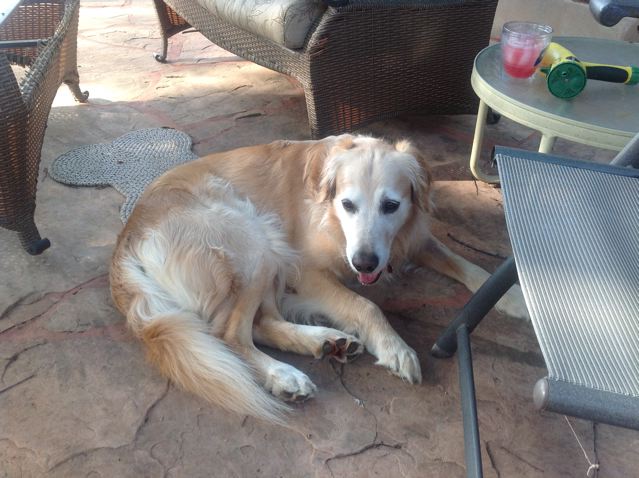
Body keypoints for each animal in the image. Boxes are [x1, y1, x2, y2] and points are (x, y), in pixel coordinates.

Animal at [110, 134, 526, 422]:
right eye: (348, 204)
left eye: (391, 205)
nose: (364, 263)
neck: (335, 220)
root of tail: (127, 235)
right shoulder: (306, 269)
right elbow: (365, 304)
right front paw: (394, 347)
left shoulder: (411, 238)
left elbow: (465, 264)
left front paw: (511, 296)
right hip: (255, 239)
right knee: (230, 334)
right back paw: (283, 374)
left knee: (263, 322)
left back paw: (325, 341)